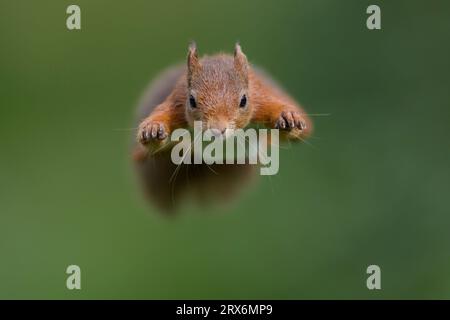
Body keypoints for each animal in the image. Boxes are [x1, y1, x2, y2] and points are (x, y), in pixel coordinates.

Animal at [132, 43, 312, 212]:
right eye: (191, 100)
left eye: (244, 100)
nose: (217, 130)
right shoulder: (176, 103)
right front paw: (153, 129)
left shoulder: (261, 99)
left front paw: (288, 117)